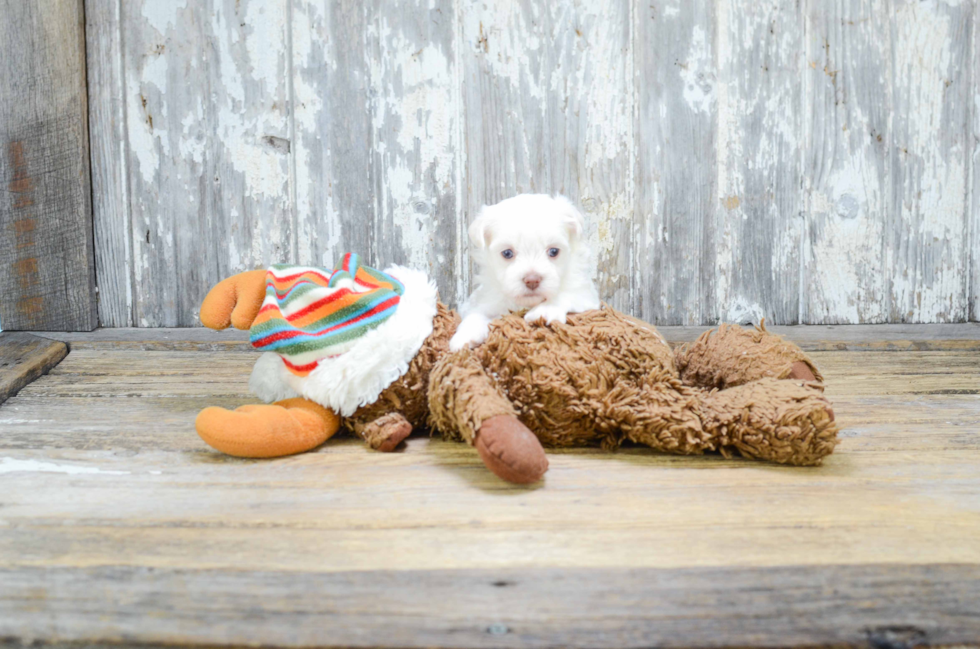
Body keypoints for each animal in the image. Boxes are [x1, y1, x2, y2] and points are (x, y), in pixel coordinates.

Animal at [450, 194, 600, 350]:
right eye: (507, 253)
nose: (532, 280)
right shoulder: (482, 301)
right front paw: (464, 337)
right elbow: (476, 313)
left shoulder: (586, 295)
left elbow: (565, 294)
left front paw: (545, 310)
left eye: (553, 251)